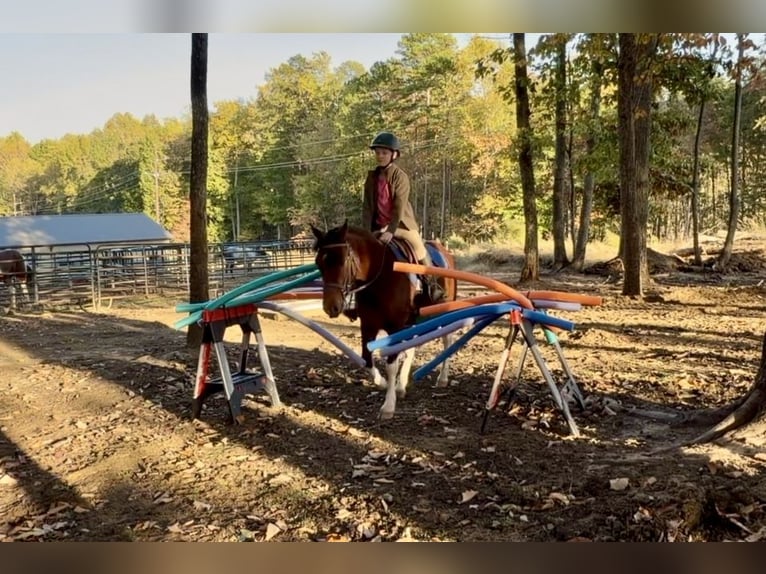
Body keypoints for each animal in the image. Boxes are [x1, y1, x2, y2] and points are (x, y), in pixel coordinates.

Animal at [311, 221, 457, 420]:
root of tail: (445, 251)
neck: (380, 276)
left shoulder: (395, 326)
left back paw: (442, 378)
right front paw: (382, 383)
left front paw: (388, 406)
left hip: (442, 311)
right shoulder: (368, 325)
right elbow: (367, 360)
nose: (330, 307)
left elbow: (391, 365)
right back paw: (401, 386)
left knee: (447, 340)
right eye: (318, 263)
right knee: (410, 347)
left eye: (342, 260)